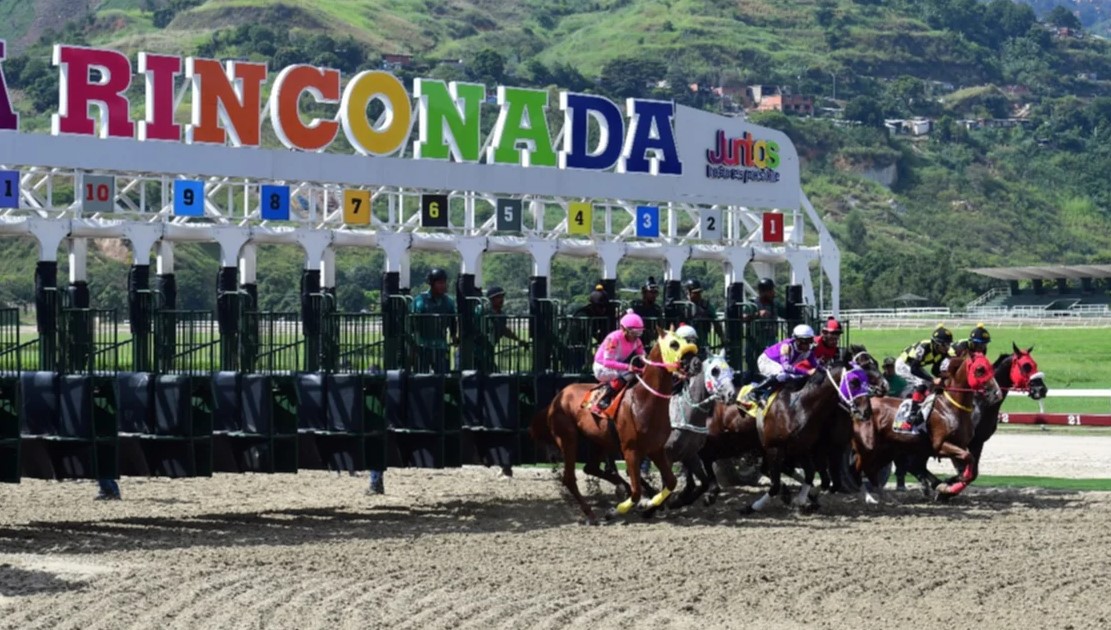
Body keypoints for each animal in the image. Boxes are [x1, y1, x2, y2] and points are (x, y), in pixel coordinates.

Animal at [526, 328, 693, 524]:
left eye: (686, 341)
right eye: (674, 344)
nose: (696, 363)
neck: (644, 401)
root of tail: (557, 398)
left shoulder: (655, 448)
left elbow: (671, 482)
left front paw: (649, 503)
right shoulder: (630, 450)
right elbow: (636, 492)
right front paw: (614, 511)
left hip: (599, 441)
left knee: (590, 468)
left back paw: (621, 487)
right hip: (568, 438)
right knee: (569, 478)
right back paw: (591, 513)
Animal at [853, 353, 1004, 504]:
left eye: (990, 368)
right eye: (980, 369)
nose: (997, 393)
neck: (950, 408)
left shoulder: (961, 444)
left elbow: (971, 472)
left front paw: (946, 487)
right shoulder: (941, 445)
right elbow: (968, 461)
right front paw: (947, 487)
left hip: (888, 448)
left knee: (874, 469)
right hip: (870, 447)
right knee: (861, 467)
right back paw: (868, 496)